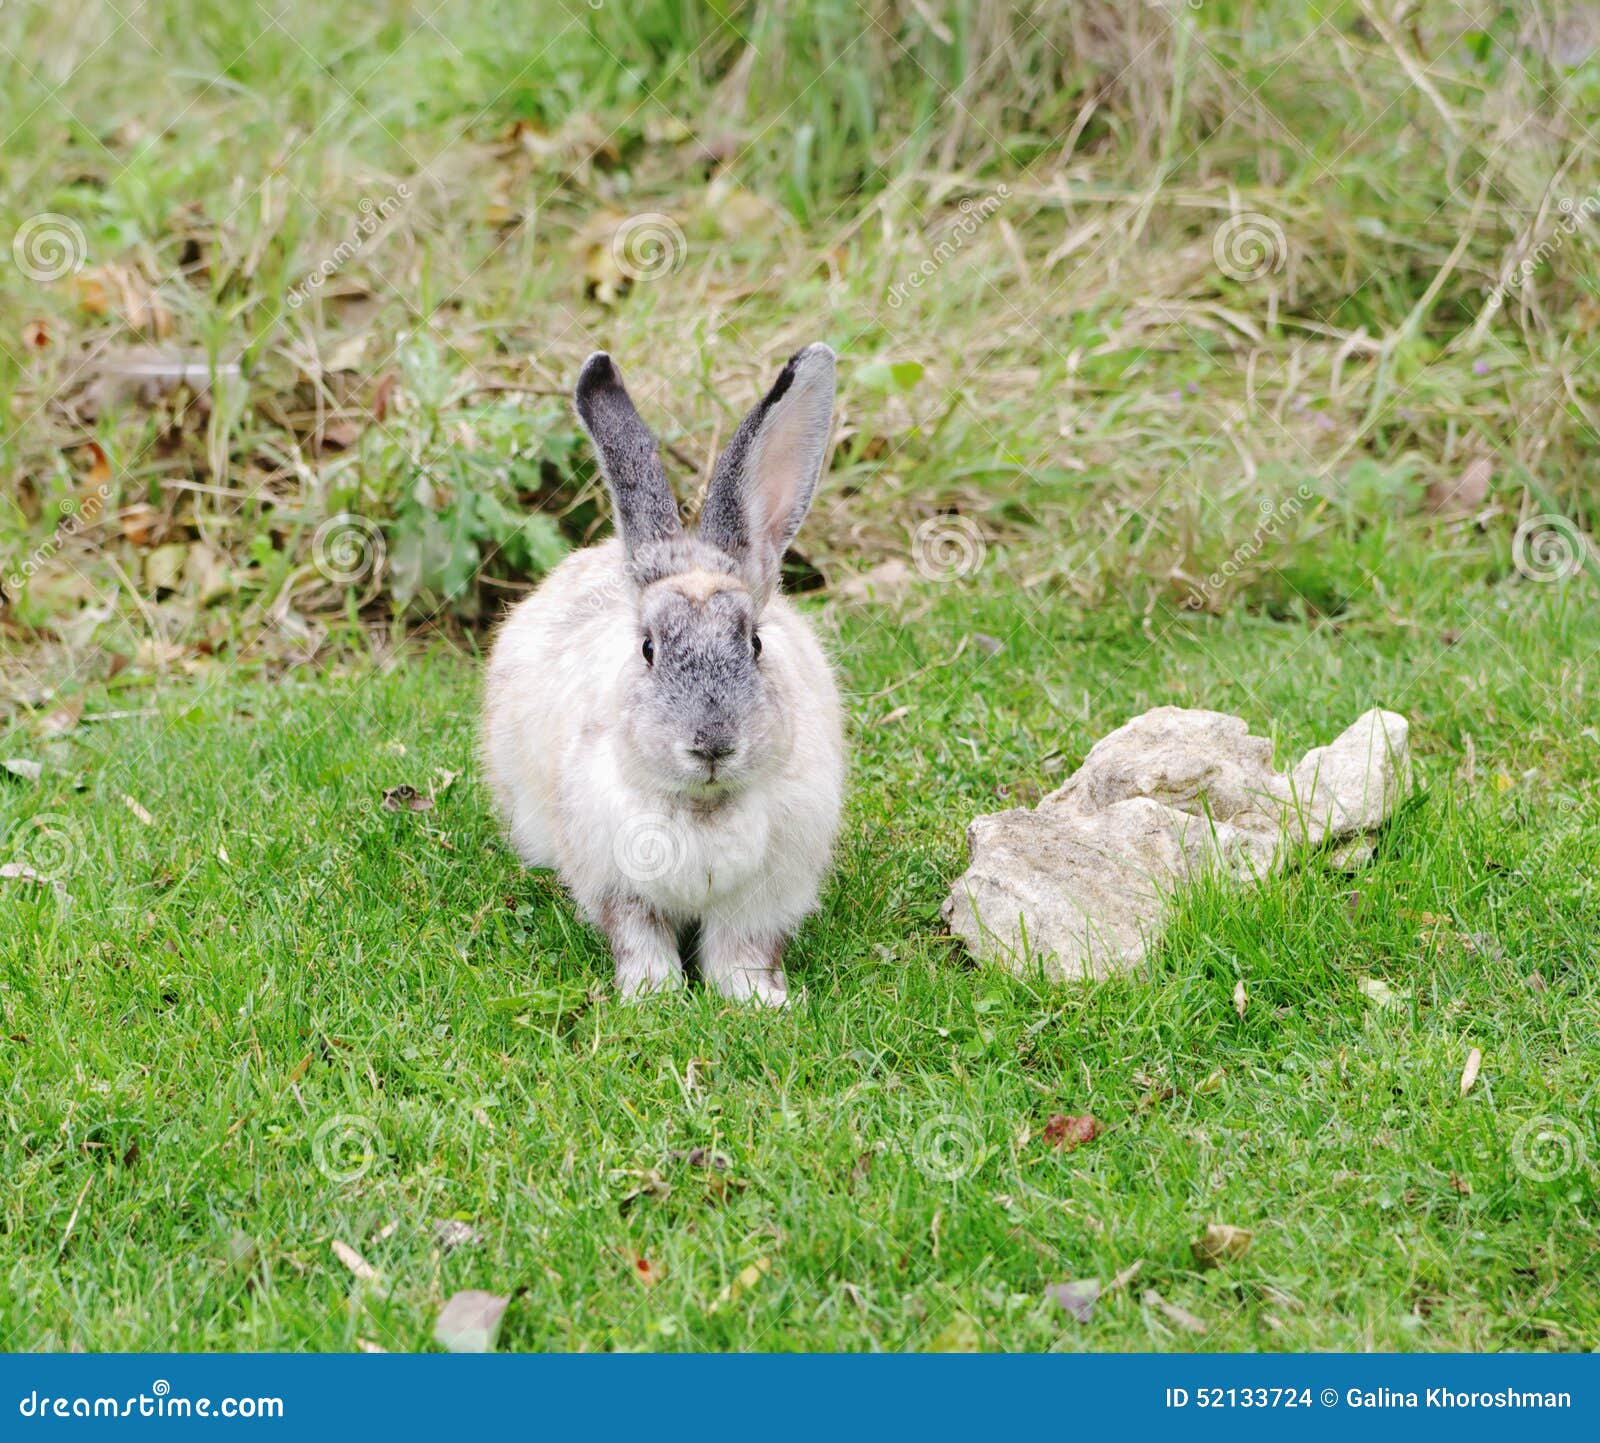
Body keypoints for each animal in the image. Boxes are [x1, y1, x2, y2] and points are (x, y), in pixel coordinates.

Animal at [476, 345, 844, 1011]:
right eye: (647, 649)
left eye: (755, 643)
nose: (712, 744)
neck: (703, 806)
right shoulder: (617, 884)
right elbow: (638, 937)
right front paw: (651, 996)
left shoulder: (764, 897)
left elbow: (743, 950)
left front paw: (759, 1002)